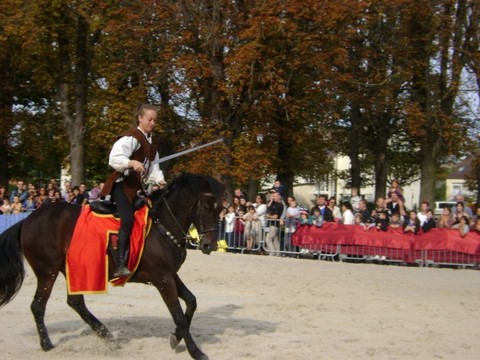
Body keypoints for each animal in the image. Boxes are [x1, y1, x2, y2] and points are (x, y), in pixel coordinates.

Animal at [0, 173, 224, 358]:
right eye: (205, 206)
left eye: (221, 209)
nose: (209, 245)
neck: (162, 226)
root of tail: (28, 219)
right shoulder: (162, 278)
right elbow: (178, 316)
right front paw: (196, 351)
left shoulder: (170, 275)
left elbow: (192, 301)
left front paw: (175, 338)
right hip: (47, 271)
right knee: (38, 306)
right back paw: (47, 344)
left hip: (71, 269)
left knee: (76, 303)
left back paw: (106, 335)